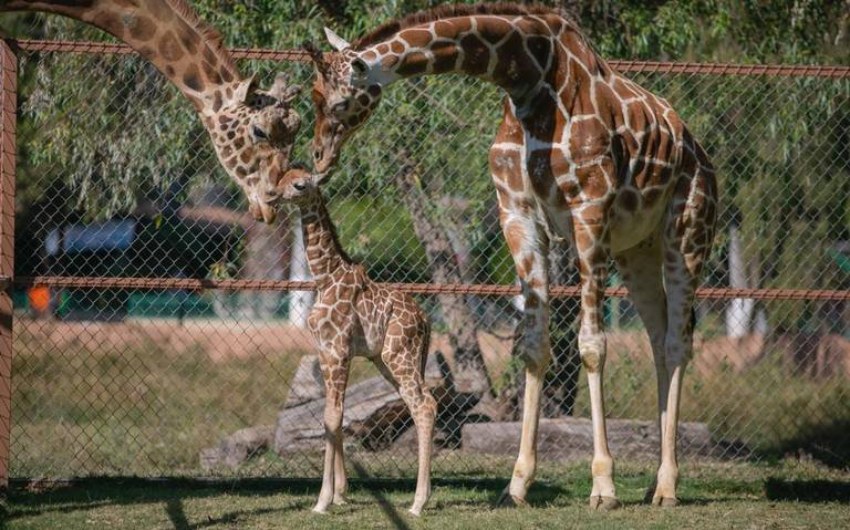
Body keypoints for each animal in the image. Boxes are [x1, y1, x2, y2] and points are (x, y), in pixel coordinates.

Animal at [280, 168, 438, 512]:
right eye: (282, 177)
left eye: (299, 184)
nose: (274, 195)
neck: (325, 278)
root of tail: (426, 320)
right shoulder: (326, 351)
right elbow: (333, 415)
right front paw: (340, 495)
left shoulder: (338, 349)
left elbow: (334, 415)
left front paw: (323, 501)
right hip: (388, 361)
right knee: (421, 403)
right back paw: (422, 497)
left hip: (398, 355)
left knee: (424, 405)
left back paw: (418, 503)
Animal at [298, 4, 716, 508]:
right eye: (313, 97)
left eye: (339, 103)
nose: (319, 157)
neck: (528, 78)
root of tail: (696, 147)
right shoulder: (517, 214)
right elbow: (533, 347)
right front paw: (516, 484)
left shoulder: (589, 210)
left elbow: (592, 347)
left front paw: (603, 485)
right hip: (637, 249)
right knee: (658, 340)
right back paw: (655, 482)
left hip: (687, 232)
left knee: (677, 343)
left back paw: (669, 485)